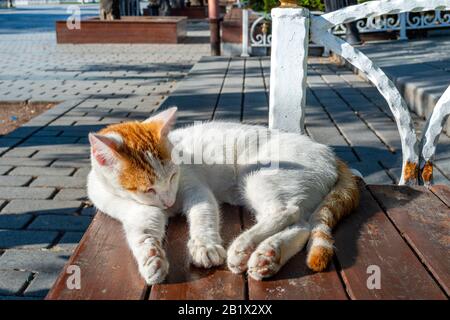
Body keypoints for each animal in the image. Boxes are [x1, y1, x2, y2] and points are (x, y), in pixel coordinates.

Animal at [88, 107, 360, 284]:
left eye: (174, 175)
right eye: (148, 189)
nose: (169, 202)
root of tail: (329, 152)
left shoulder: (196, 190)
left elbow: (203, 217)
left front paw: (204, 246)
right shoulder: (139, 211)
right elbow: (143, 235)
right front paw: (150, 259)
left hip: (257, 177)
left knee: (286, 211)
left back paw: (243, 247)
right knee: (302, 225)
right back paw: (268, 256)